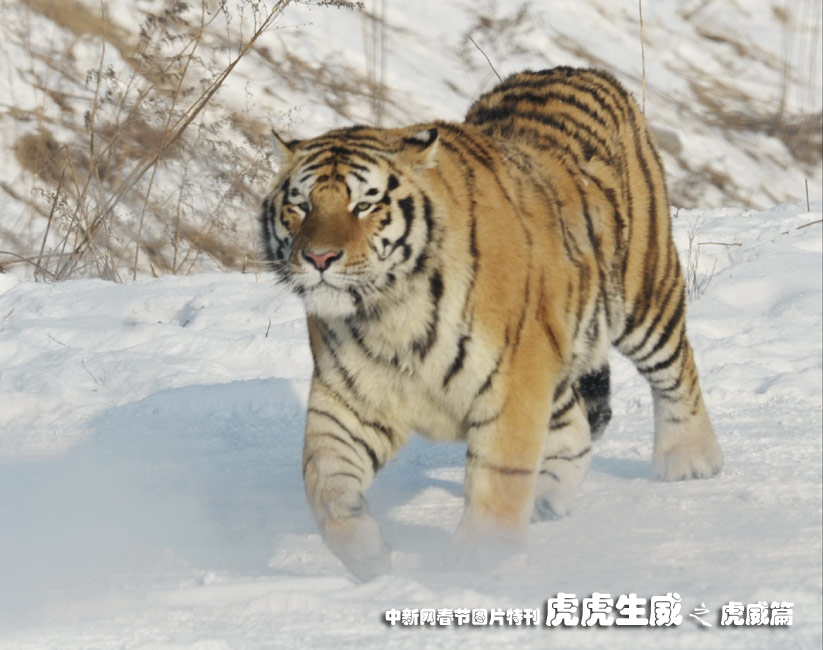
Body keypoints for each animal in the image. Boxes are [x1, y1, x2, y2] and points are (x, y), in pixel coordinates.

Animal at [259, 66, 723, 580]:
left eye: (364, 205)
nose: (319, 258)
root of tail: (577, 69)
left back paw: (689, 462)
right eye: (300, 205)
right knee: (575, 428)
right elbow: (325, 481)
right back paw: (547, 500)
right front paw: (369, 555)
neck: (389, 311)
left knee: (677, 371)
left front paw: (481, 563)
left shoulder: (512, 382)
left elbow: (499, 478)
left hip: (644, 295)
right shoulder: (350, 398)